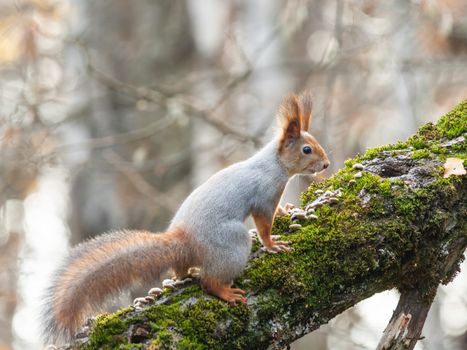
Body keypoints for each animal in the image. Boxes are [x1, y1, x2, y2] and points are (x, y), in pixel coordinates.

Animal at [42, 91, 330, 344]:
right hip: (233, 243)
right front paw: (273, 244)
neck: (273, 164)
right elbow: (264, 224)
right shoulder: (265, 195)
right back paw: (226, 292)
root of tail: (185, 241)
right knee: (209, 282)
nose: (327, 164)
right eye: (307, 150)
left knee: (181, 271)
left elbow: (277, 211)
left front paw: (288, 209)